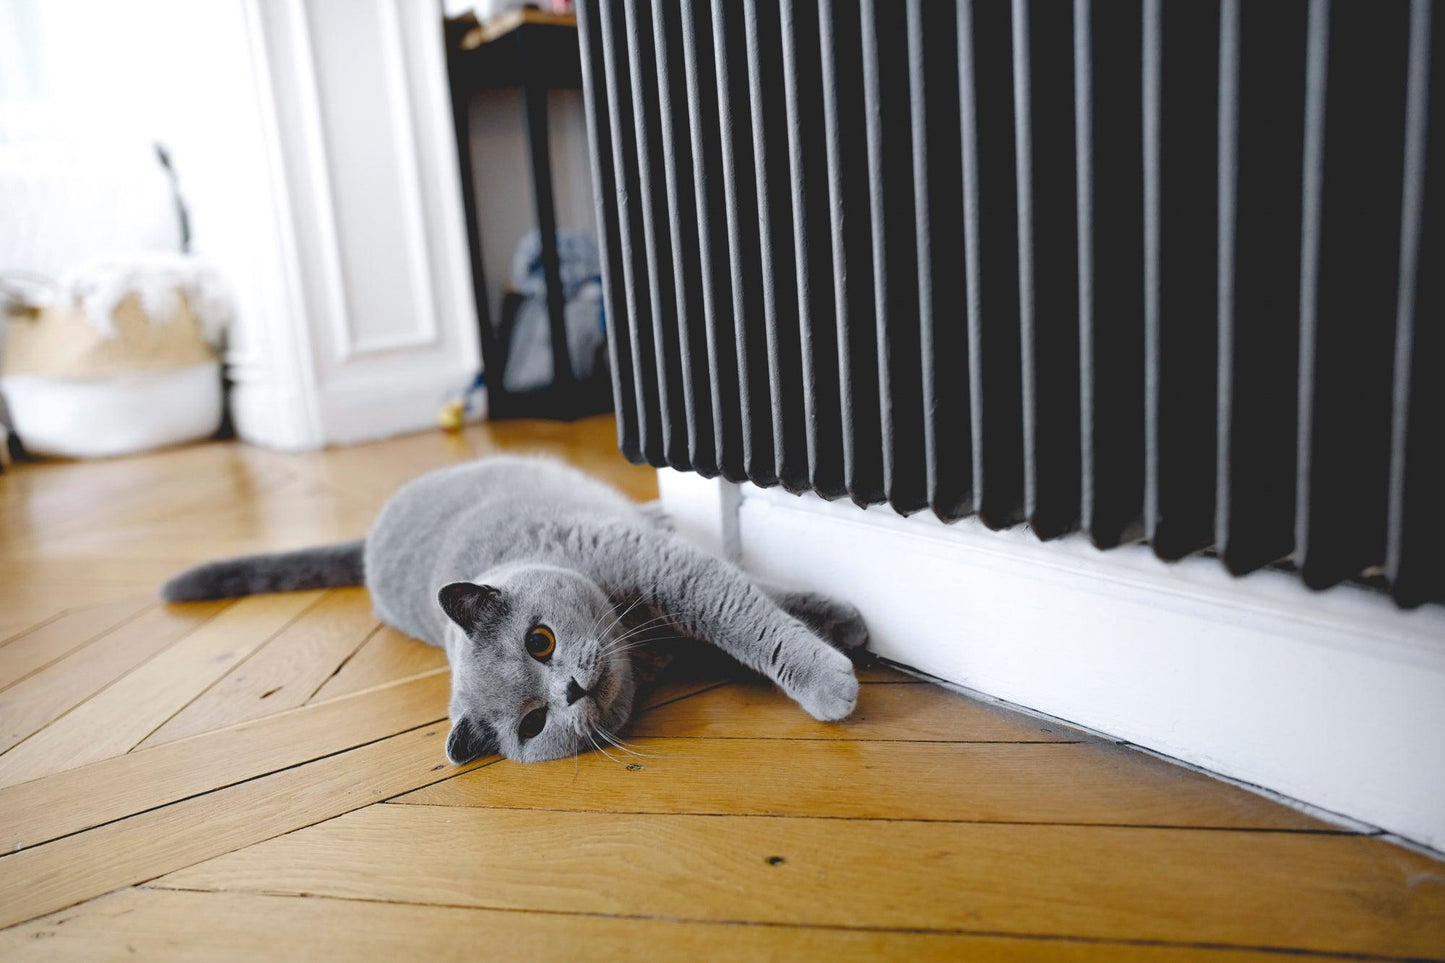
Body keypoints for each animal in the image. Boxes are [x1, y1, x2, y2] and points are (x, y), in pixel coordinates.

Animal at [164, 454, 861, 763]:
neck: (643, 641)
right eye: (532, 724)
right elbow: (751, 618)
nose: (572, 689)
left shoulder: (667, 569)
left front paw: (836, 647)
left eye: (539, 641)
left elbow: (748, 613)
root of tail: (368, 542)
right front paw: (837, 647)